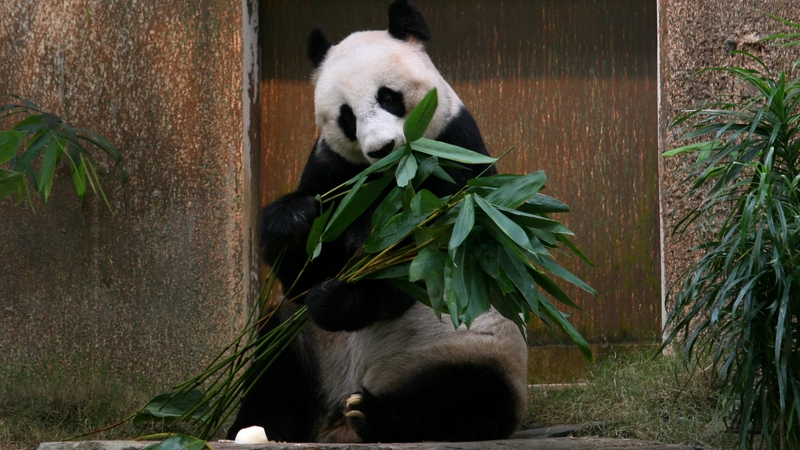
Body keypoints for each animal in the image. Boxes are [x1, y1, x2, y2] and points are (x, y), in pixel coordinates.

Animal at [228, 0, 528, 443]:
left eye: (388, 97)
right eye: (347, 117)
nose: (381, 148)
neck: (391, 175)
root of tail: (332, 421)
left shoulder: (456, 160)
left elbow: (430, 261)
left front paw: (337, 299)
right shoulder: (332, 170)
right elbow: (304, 274)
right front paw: (294, 220)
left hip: (472, 350)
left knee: (463, 400)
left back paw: (371, 413)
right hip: (303, 341)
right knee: (274, 369)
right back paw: (254, 426)